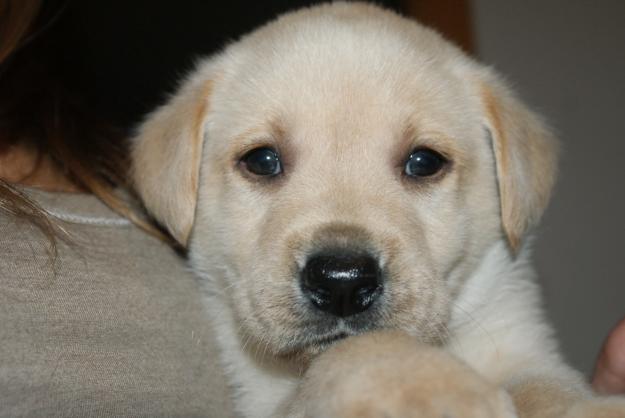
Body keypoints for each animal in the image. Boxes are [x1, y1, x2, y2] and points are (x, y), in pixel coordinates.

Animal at [130, 3, 624, 418]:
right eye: (262, 160)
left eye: (424, 162)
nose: (342, 282)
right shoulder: (264, 399)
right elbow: (354, 350)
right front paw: (435, 389)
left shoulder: (521, 343)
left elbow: (549, 387)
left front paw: (591, 408)